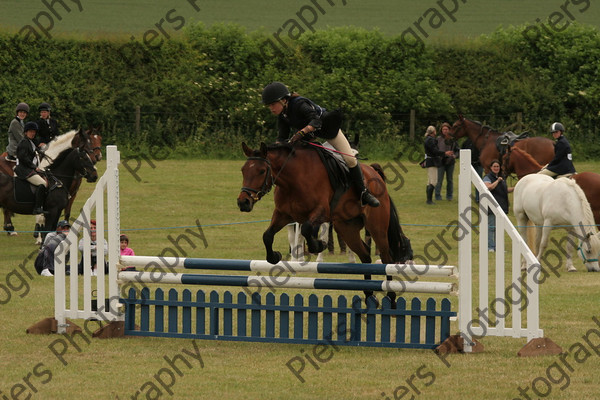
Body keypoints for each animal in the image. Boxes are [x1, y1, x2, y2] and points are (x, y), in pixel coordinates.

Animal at [237, 143, 414, 306]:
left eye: (261, 171)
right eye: (243, 170)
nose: (243, 203)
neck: (293, 179)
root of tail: (373, 171)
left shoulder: (320, 212)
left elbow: (307, 229)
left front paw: (319, 245)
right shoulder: (283, 215)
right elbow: (267, 235)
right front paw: (274, 256)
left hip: (377, 226)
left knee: (386, 258)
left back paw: (391, 297)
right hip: (346, 228)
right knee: (365, 255)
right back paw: (370, 295)